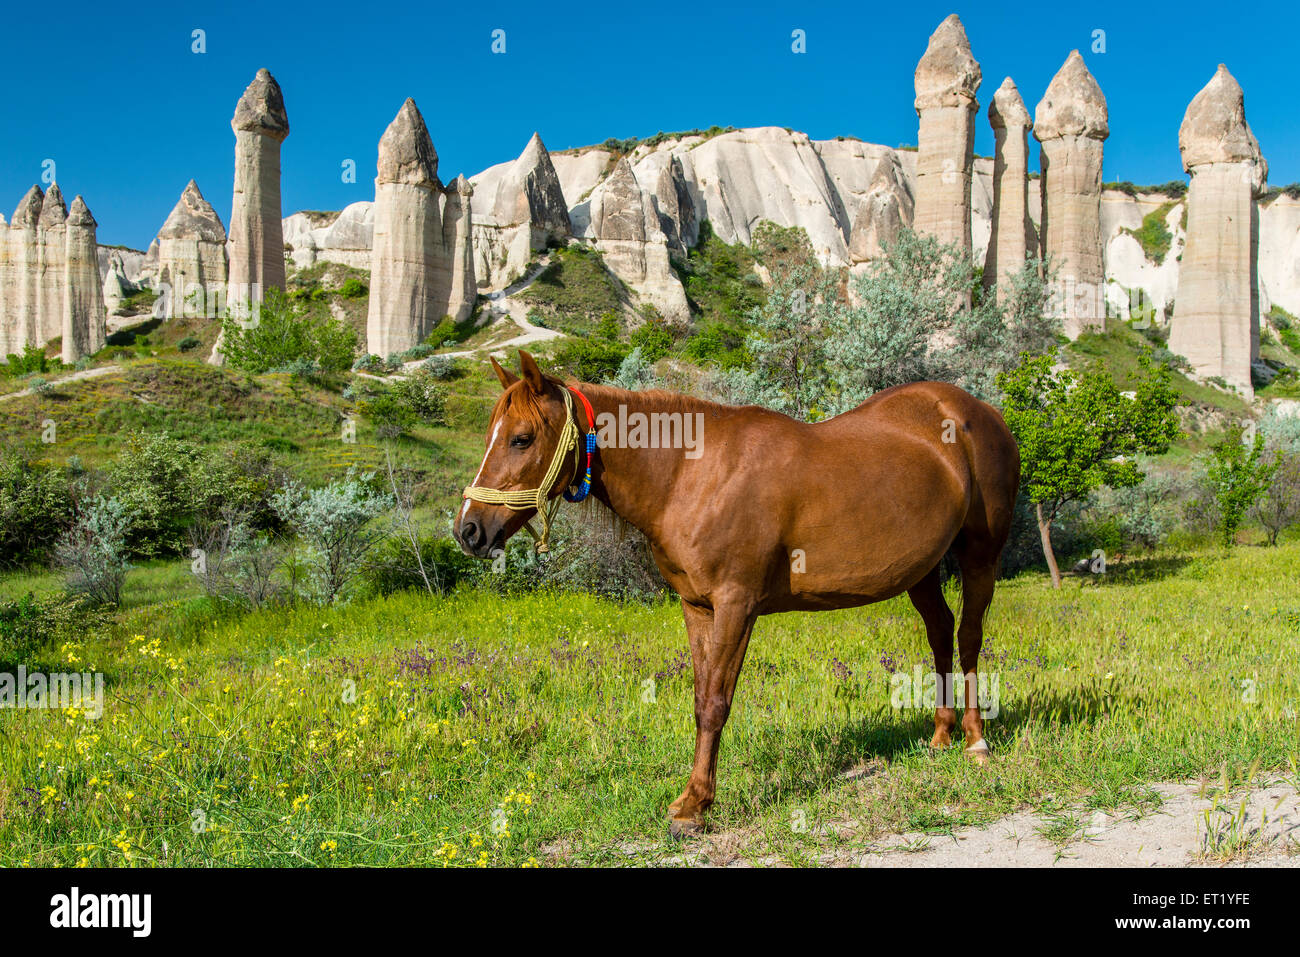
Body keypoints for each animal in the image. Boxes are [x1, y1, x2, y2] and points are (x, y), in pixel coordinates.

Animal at [460, 351, 1024, 837]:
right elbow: (699, 698)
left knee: (968, 637)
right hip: (921, 571)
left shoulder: (737, 604)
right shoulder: (697, 607)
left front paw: (694, 807)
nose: (468, 530)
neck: (692, 473)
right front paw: (692, 799)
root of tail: (979, 412)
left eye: (521, 439)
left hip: (980, 556)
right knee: (941, 633)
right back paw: (941, 736)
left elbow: (715, 702)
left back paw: (975, 740)